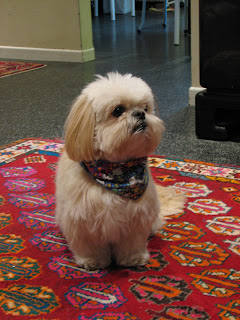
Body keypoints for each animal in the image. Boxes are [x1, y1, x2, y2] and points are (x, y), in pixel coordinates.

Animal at [55, 73, 185, 270]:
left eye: (145, 108)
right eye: (118, 110)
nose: (140, 114)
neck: (116, 172)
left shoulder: (136, 219)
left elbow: (131, 244)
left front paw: (133, 259)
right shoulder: (82, 221)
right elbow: (89, 246)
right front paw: (92, 261)